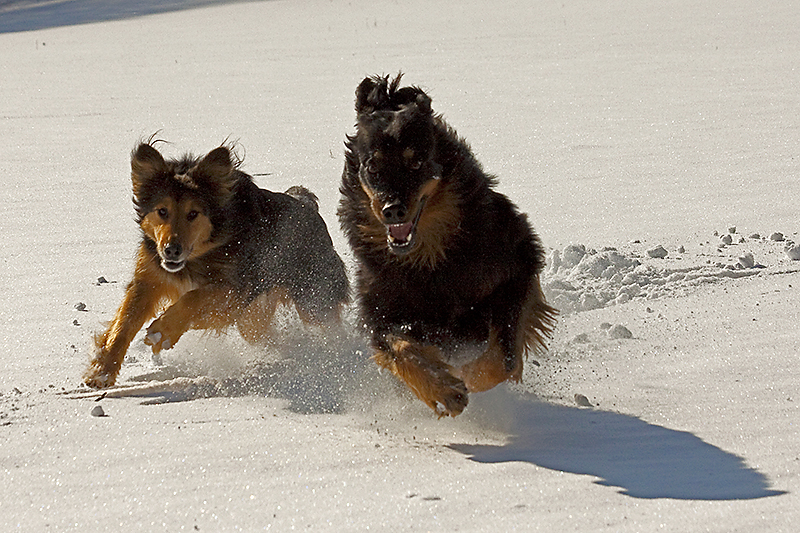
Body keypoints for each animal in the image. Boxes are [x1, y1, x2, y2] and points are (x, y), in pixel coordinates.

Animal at [83, 138, 348, 386]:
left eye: (193, 214)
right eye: (162, 211)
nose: (171, 251)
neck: (202, 253)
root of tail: (307, 205)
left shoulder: (236, 289)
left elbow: (194, 297)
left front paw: (163, 331)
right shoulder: (149, 279)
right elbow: (124, 324)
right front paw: (102, 370)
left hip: (313, 299)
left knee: (331, 329)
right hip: (253, 320)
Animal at [338, 74, 556, 416]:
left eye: (416, 163)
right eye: (372, 166)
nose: (392, 210)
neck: (429, 258)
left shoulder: (519, 264)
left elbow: (503, 356)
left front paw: (468, 376)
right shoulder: (378, 308)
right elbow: (400, 347)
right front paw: (442, 388)